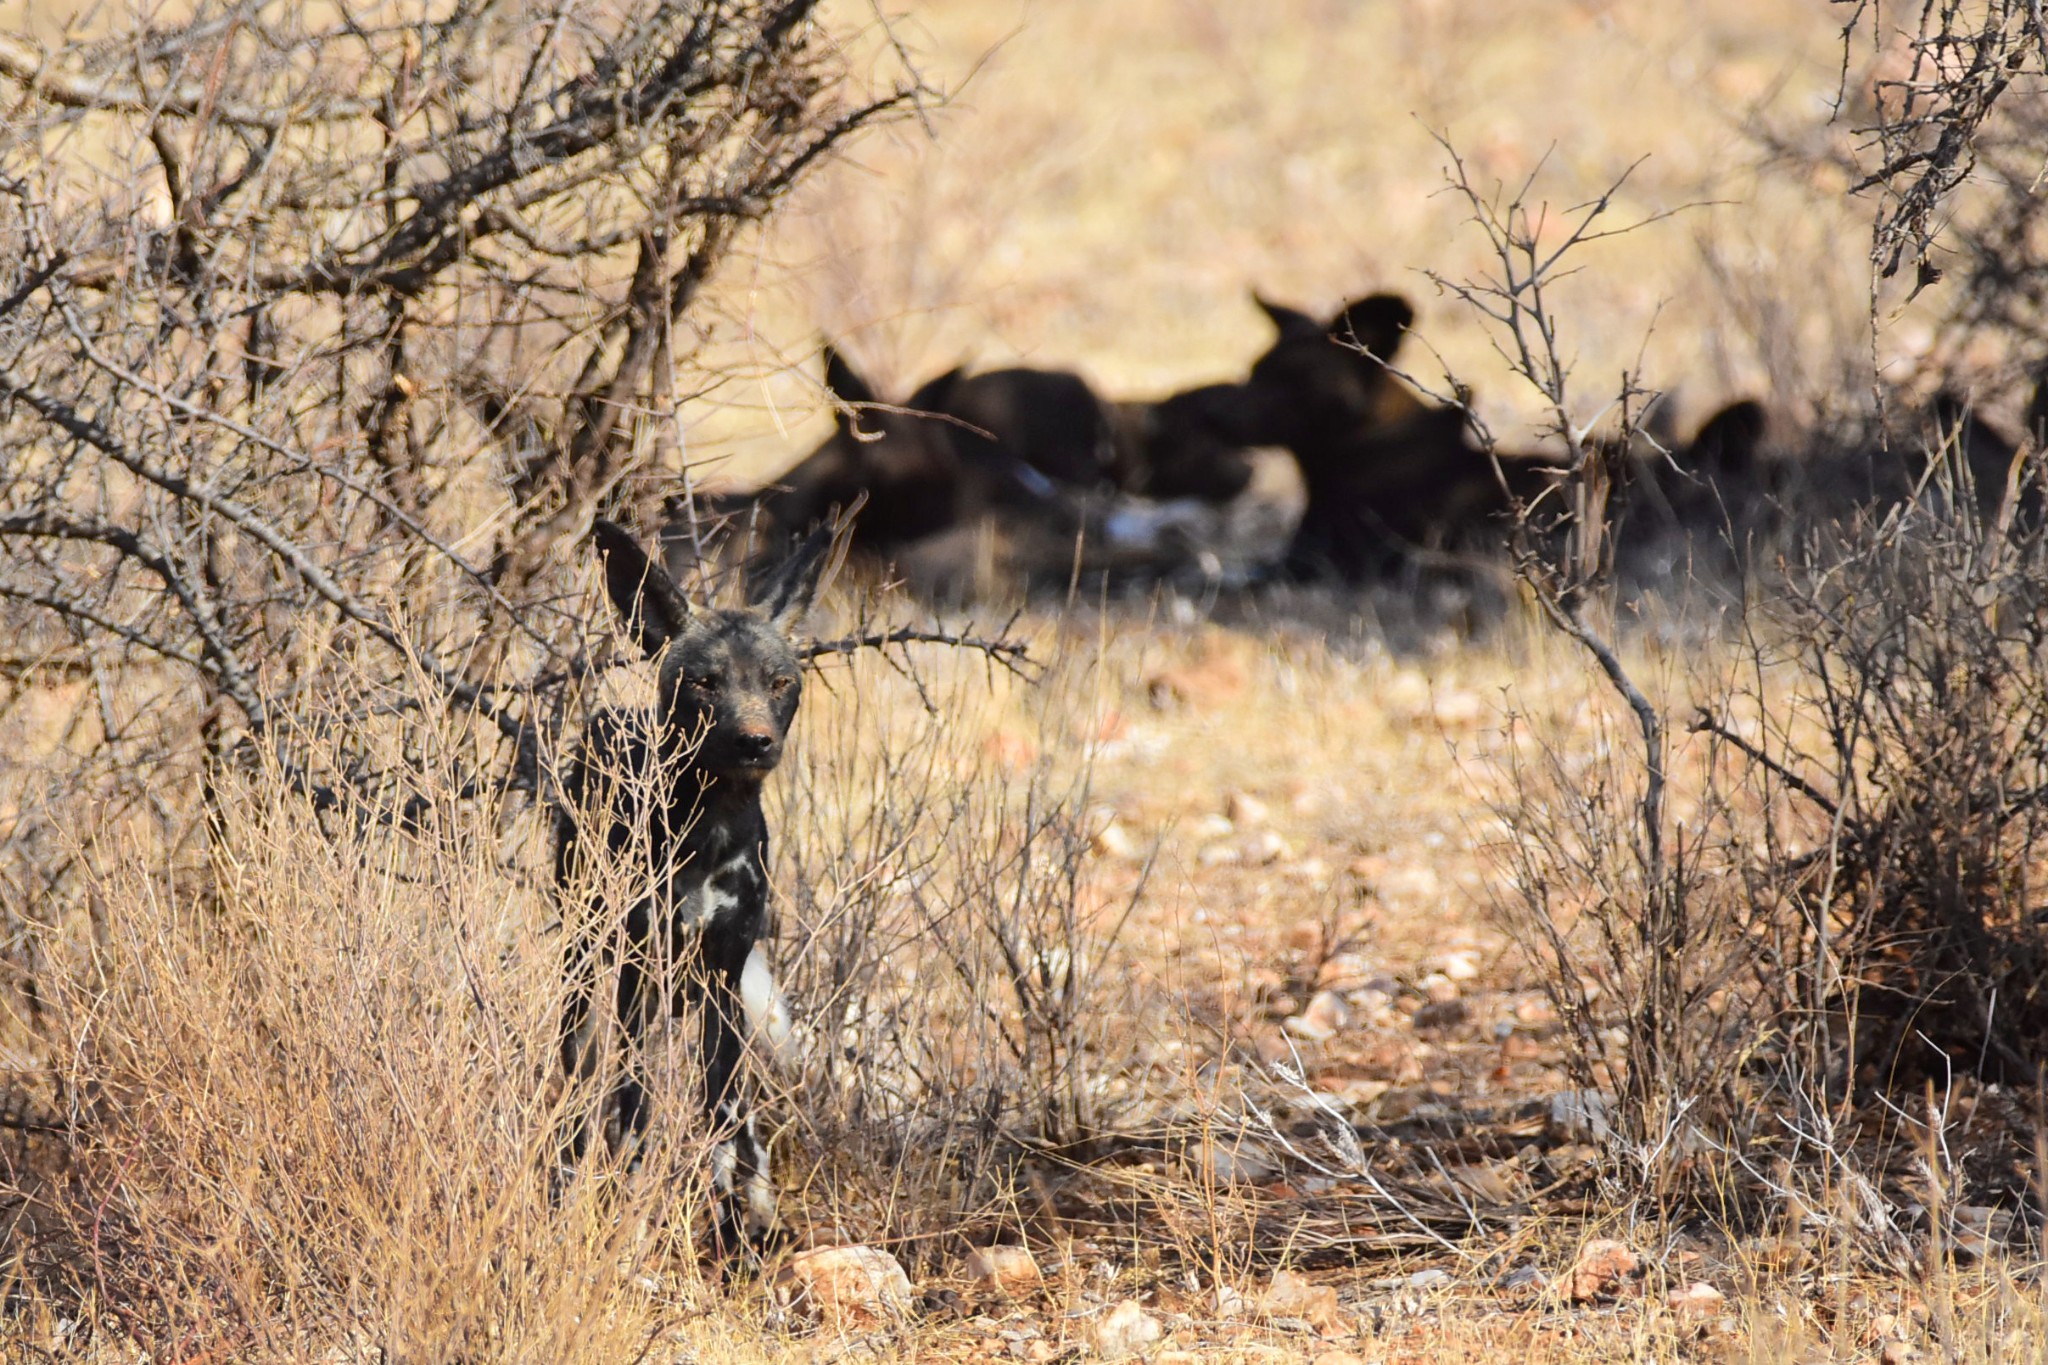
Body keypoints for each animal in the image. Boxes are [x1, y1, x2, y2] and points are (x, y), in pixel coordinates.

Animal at [552, 517, 831, 1252]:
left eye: (779, 682)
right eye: (706, 682)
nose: (755, 742)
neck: (711, 832)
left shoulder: (723, 981)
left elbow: (726, 1116)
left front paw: (738, 1228)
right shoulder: (638, 978)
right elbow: (633, 1109)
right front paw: (624, 1213)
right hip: (586, 969)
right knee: (581, 1081)